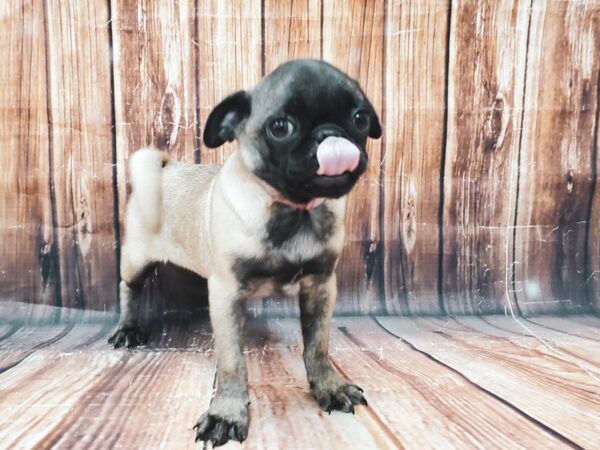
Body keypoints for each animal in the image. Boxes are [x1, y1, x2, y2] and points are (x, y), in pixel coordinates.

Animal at [108, 59, 380, 446]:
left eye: (360, 119)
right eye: (280, 127)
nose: (331, 135)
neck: (291, 210)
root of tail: (167, 167)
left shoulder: (320, 285)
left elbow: (317, 346)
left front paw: (329, 386)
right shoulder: (226, 295)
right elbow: (233, 363)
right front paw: (227, 413)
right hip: (136, 259)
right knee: (129, 287)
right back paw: (128, 328)